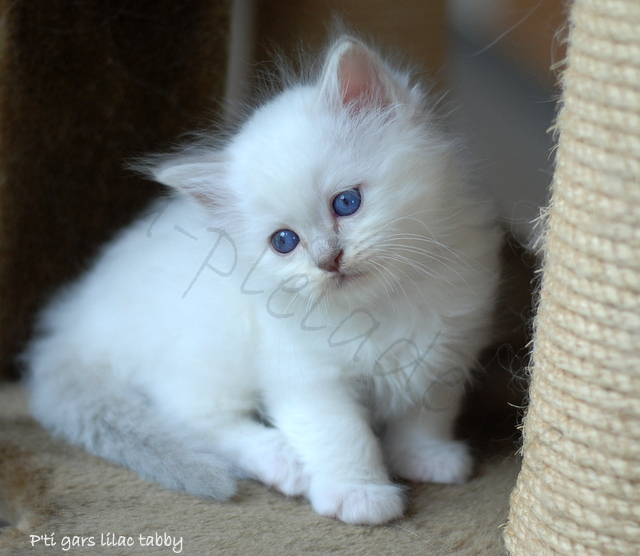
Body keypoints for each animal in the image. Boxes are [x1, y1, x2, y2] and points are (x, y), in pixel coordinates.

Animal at [25, 37, 502, 524]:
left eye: (346, 203)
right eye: (284, 242)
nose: (328, 260)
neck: (383, 307)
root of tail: (75, 321)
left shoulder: (444, 354)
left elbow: (425, 415)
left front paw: (425, 457)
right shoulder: (306, 375)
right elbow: (342, 435)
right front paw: (360, 495)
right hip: (206, 349)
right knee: (193, 418)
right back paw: (283, 461)